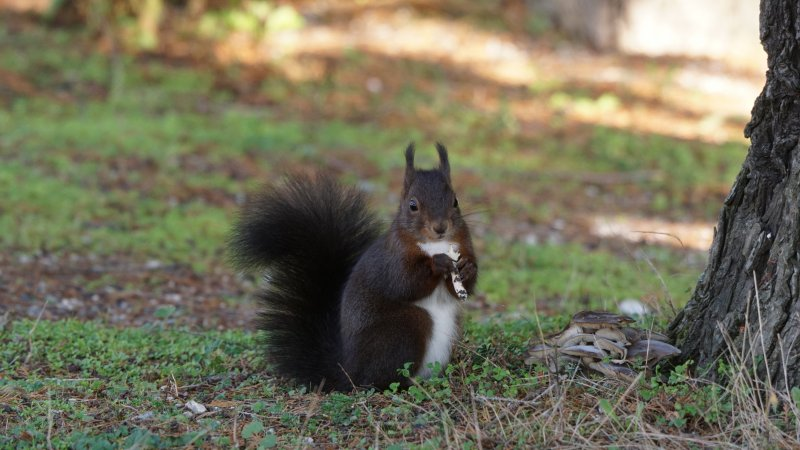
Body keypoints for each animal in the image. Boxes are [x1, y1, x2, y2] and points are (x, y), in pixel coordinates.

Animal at [231, 143, 482, 390]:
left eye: (455, 201)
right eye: (413, 205)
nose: (440, 227)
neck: (436, 244)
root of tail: (348, 372)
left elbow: (460, 289)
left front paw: (467, 268)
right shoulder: (393, 258)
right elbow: (403, 283)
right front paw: (438, 263)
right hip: (405, 327)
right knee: (380, 380)